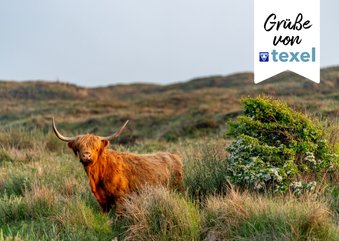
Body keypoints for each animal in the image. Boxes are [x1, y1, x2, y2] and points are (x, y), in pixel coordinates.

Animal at [51, 117, 183, 214]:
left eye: (96, 147)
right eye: (79, 147)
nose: (86, 155)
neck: (98, 175)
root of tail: (174, 156)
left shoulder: (120, 197)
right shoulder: (102, 200)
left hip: (176, 188)